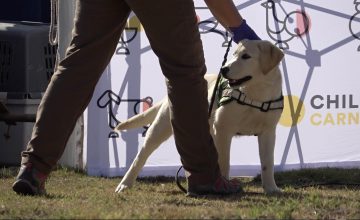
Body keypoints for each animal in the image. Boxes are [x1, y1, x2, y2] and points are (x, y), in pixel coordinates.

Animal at [115, 40, 284, 194]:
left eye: (246, 56)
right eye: (234, 55)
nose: (224, 69)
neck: (255, 96)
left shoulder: (268, 132)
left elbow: (268, 163)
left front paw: (271, 188)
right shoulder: (223, 130)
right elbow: (224, 161)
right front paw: (224, 184)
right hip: (159, 129)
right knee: (140, 157)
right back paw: (125, 184)